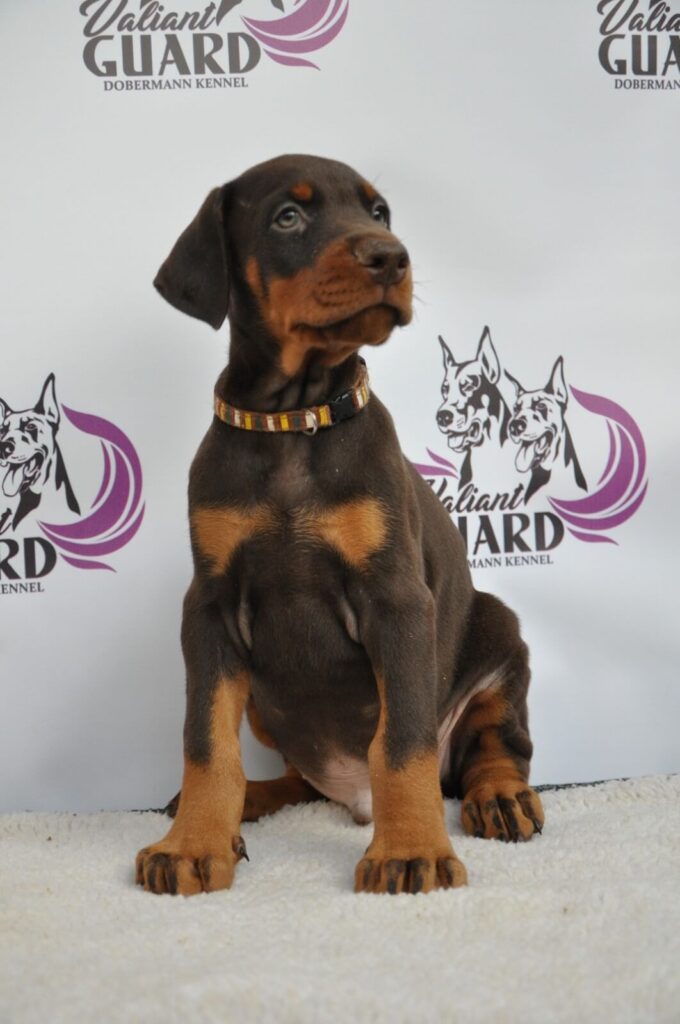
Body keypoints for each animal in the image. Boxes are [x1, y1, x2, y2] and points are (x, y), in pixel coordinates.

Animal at [135, 151, 544, 897]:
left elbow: (403, 741)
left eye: (378, 212)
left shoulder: (397, 599)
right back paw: (252, 802)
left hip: (499, 637)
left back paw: (500, 797)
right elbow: (205, 743)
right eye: (287, 216)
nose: (392, 257)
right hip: (266, 700)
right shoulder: (208, 608)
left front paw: (409, 851)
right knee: (298, 778)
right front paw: (191, 844)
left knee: (494, 747)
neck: (293, 420)